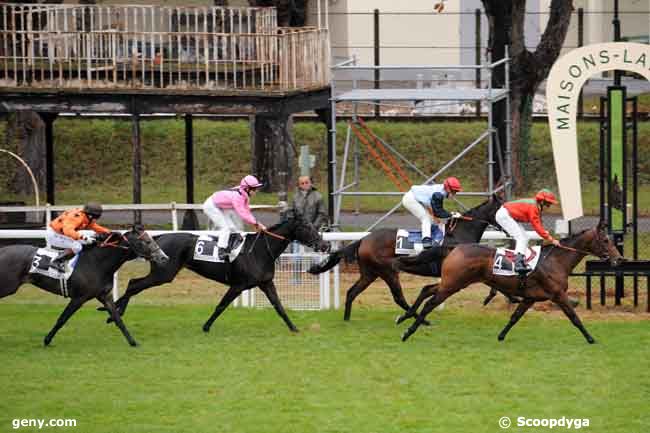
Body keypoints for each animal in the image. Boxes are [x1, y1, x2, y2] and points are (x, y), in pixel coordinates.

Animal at [0, 228, 170, 346]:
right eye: (146, 242)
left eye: (151, 239)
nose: (164, 258)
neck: (97, 263)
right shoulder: (79, 298)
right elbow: (62, 319)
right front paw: (47, 340)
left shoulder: (104, 295)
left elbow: (117, 318)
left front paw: (133, 342)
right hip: (8, 286)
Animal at [109, 211, 330, 332]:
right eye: (307, 227)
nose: (325, 245)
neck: (259, 250)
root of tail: (159, 238)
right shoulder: (238, 285)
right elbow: (221, 306)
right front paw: (206, 326)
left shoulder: (265, 283)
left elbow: (279, 306)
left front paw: (294, 328)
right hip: (163, 274)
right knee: (134, 284)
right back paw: (114, 313)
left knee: (134, 284)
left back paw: (114, 312)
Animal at [306, 194, 504, 318]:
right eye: (502, 209)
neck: (459, 233)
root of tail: (364, 239)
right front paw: (489, 298)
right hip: (388, 271)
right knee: (398, 297)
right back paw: (418, 318)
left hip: (370, 273)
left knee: (352, 292)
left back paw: (347, 319)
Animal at [398, 223, 620, 344]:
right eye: (605, 240)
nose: (619, 258)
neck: (555, 261)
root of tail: (455, 247)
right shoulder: (558, 295)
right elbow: (574, 318)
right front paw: (591, 338)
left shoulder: (530, 298)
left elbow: (514, 317)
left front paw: (501, 336)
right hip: (453, 284)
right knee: (430, 302)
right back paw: (408, 331)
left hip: (452, 282)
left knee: (427, 289)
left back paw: (404, 316)